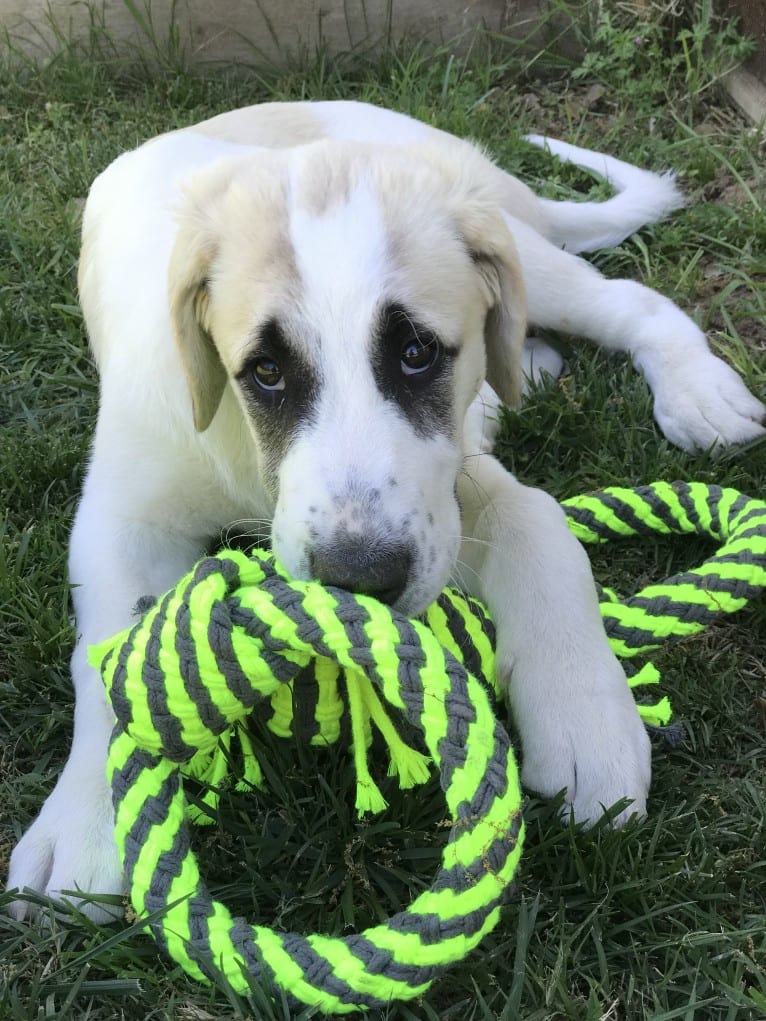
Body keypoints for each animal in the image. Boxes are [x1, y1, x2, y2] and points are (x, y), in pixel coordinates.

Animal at [7, 101, 766, 918]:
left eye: (416, 353)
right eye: (265, 372)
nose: (360, 580)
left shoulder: (451, 488)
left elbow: (541, 527)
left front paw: (586, 716)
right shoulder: (123, 520)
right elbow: (108, 656)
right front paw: (85, 828)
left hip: (521, 252)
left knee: (625, 298)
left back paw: (698, 391)